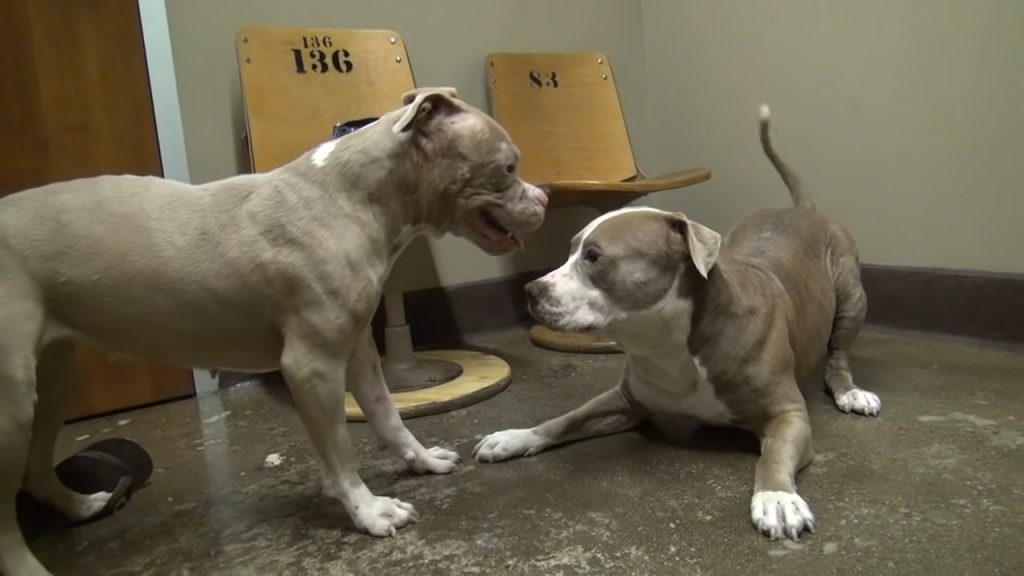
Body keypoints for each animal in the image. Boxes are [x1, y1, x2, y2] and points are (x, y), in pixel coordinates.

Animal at [0, 86, 552, 573]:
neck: (356, 197)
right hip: (12, 402)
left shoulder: (357, 349)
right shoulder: (312, 366)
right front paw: (368, 510)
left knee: (34, 468)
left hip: (52, 378)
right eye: (508, 166)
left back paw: (80, 506)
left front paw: (421, 461)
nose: (545, 196)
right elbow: (341, 452)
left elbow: (388, 414)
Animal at [473, 105, 880, 541]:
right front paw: (515, 437)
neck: (666, 342)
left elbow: (772, 457)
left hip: (851, 296)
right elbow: (564, 419)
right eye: (570, 251)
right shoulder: (624, 401)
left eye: (594, 256)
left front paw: (777, 498)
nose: (531, 290)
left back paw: (850, 392)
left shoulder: (787, 414)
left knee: (839, 354)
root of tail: (802, 211)